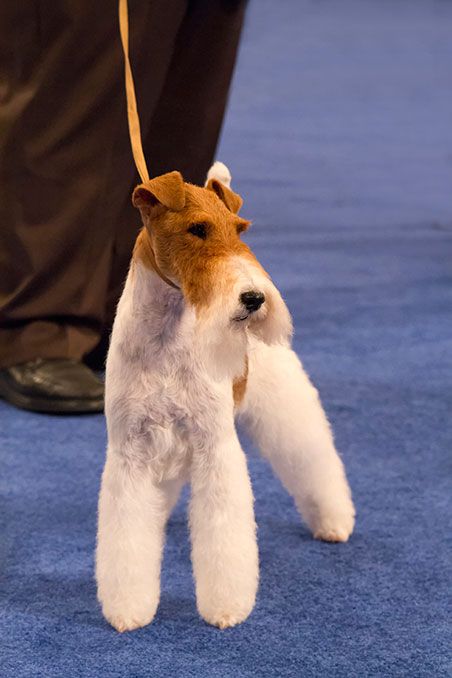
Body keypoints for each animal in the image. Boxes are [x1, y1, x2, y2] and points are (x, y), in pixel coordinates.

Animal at [96, 163, 356, 632]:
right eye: (197, 229)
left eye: (239, 230)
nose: (254, 298)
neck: (168, 336)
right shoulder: (130, 450)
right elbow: (126, 539)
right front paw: (128, 609)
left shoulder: (214, 445)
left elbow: (224, 537)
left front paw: (227, 608)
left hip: (287, 410)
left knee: (316, 464)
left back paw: (334, 522)